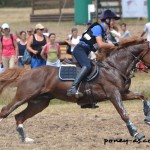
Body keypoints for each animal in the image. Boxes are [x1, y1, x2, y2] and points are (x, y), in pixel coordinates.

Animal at [0, 37, 150, 142]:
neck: (114, 67)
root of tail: (26, 72)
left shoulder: (123, 93)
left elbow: (142, 96)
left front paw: (147, 117)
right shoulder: (113, 94)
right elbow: (124, 114)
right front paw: (137, 133)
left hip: (39, 103)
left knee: (19, 116)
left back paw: (25, 139)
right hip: (23, 96)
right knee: (5, 111)